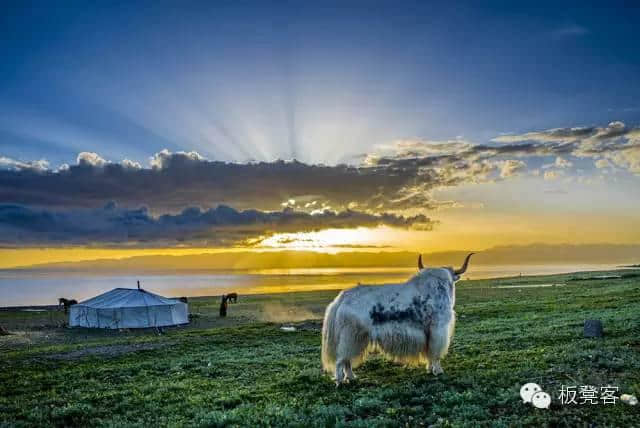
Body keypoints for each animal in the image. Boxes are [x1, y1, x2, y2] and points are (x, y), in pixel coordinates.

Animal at [322, 252, 472, 386]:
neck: (439, 286)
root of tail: (341, 298)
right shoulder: (438, 329)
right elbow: (435, 352)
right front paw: (438, 371)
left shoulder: (427, 332)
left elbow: (429, 351)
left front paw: (430, 369)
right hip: (351, 336)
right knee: (341, 359)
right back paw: (340, 381)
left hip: (355, 337)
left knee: (346, 359)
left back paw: (351, 377)